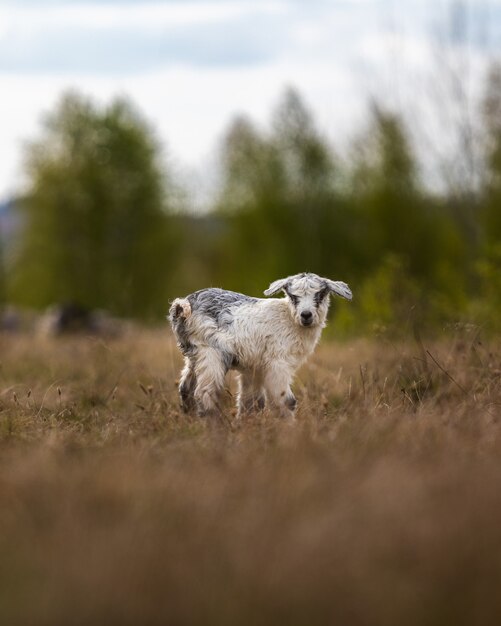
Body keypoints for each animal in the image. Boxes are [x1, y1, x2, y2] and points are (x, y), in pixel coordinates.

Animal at [168, 270, 352, 416]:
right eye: (293, 296)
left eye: (320, 295)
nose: (306, 315)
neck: (289, 319)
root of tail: (183, 306)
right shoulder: (277, 363)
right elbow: (285, 400)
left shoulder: (253, 368)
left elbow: (251, 402)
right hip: (211, 352)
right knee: (205, 393)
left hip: (194, 355)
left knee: (186, 389)